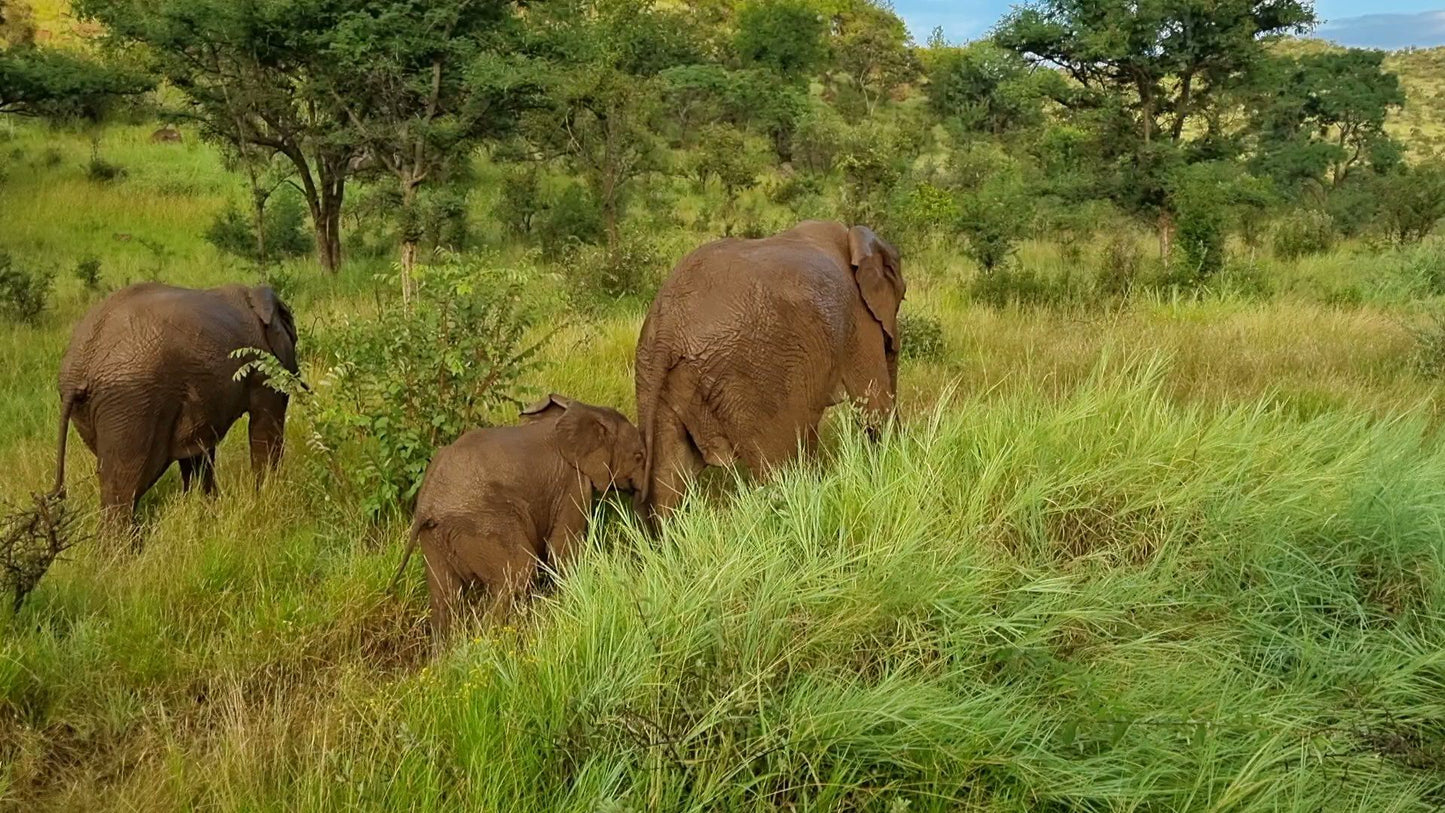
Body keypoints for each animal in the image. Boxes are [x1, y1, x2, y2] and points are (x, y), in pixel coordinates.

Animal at [52, 283, 299, 537]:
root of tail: (78, 369)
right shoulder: (262, 365)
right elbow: (265, 426)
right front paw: (265, 497)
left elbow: (196, 449)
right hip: (132, 402)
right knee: (127, 482)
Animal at [393, 398, 647, 638]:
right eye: (638, 457)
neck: (587, 410)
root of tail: (427, 504)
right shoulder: (572, 483)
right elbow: (562, 550)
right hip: (484, 524)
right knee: (518, 572)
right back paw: (490, 640)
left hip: (434, 536)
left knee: (444, 597)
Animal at [635, 219, 901, 519]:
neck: (853, 238)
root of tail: (668, 325)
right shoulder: (859, 319)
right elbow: (875, 406)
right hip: (751, 380)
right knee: (778, 469)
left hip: (651, 373)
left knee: (669, 478)